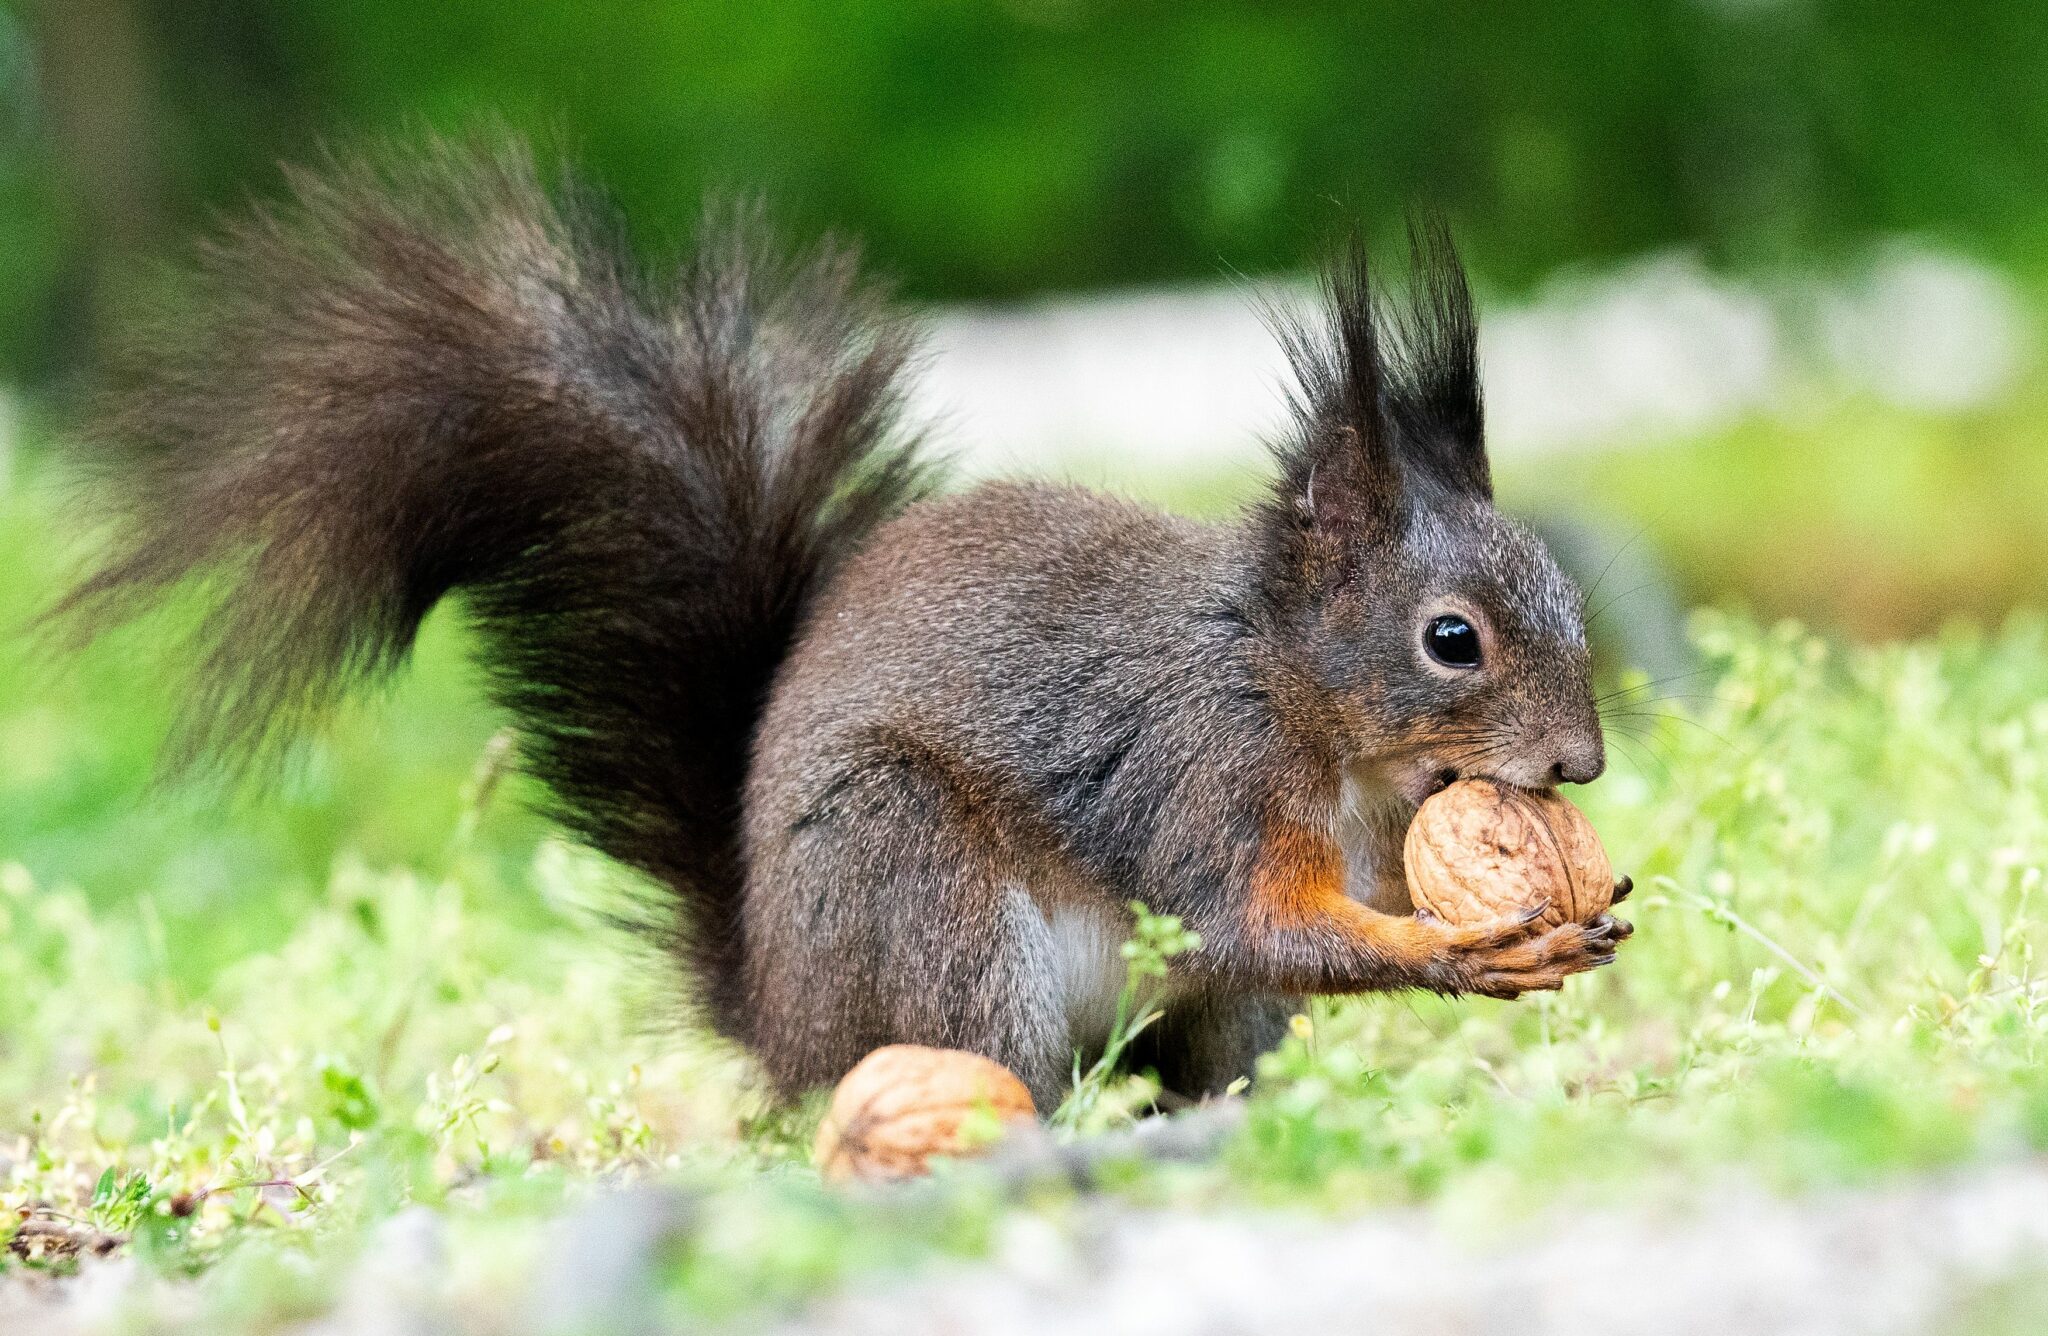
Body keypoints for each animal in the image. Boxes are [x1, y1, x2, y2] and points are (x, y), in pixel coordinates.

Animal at [51, 137, 1631, 1109]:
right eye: (1451, 639)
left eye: (1560, 592)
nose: (1582, 767)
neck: (1303, 700)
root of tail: (784, 1020)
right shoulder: (1206, 777)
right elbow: (1258, 916)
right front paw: (1469, 951)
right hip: (921, 893)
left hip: (1165, 1002)